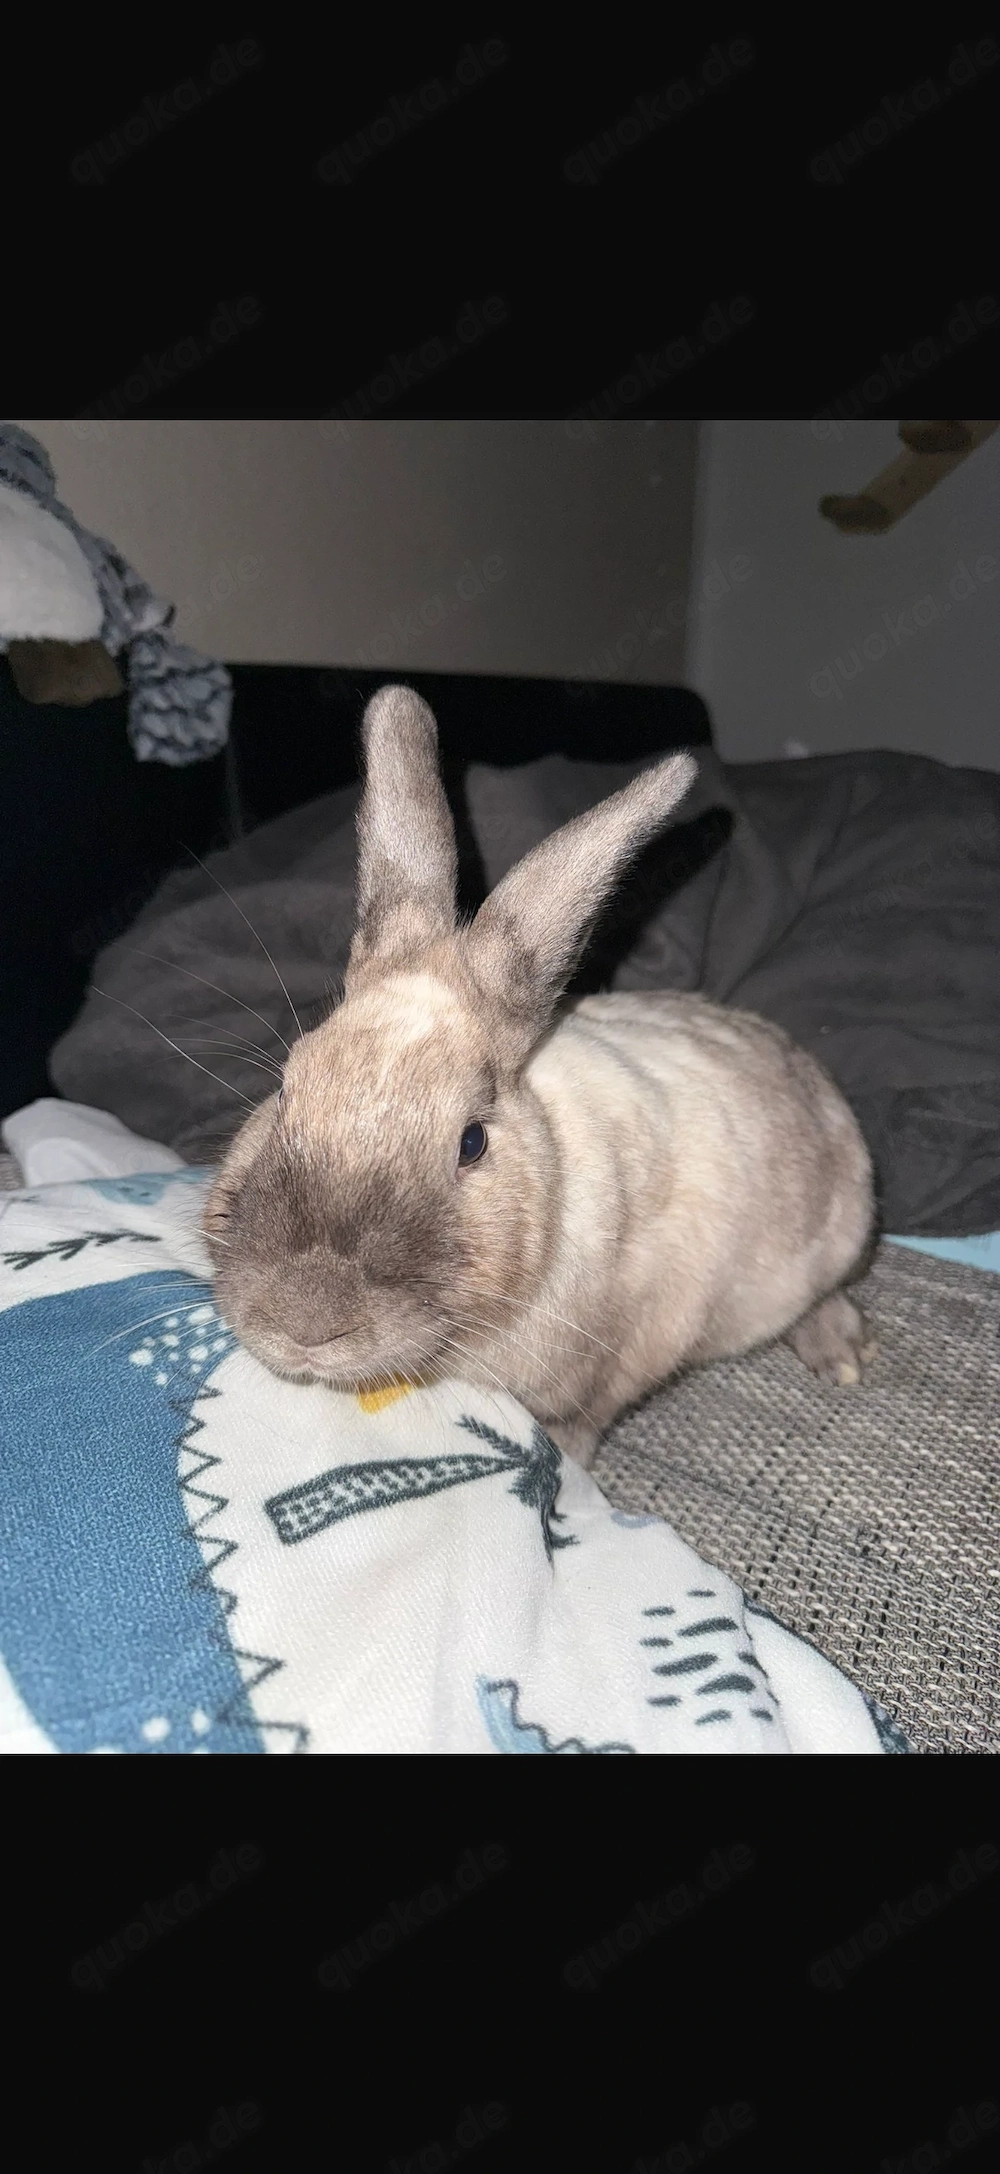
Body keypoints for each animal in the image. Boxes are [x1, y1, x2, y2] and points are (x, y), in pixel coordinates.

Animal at [204, 683, 876, 1468]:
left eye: (471, 1142)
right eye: (286, 1089)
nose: (304, 1322)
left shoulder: (627, 1355)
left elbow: (583, 1424)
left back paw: (842, 1354)